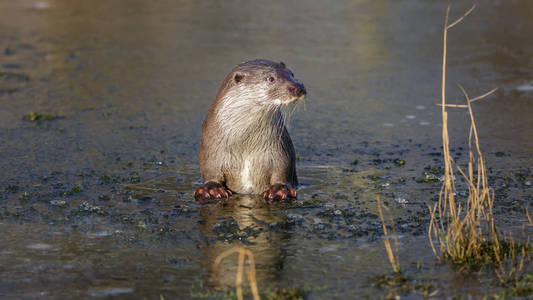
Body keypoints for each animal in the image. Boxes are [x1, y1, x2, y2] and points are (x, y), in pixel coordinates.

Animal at [195, 59, 306, 202]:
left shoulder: (281, 151)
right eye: (270, 78)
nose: (298, 87)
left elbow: (282, 171)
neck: (246, 145)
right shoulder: (210, 151)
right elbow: (210, 172)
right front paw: (212, 188)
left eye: (291, 73)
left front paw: (279, 189)